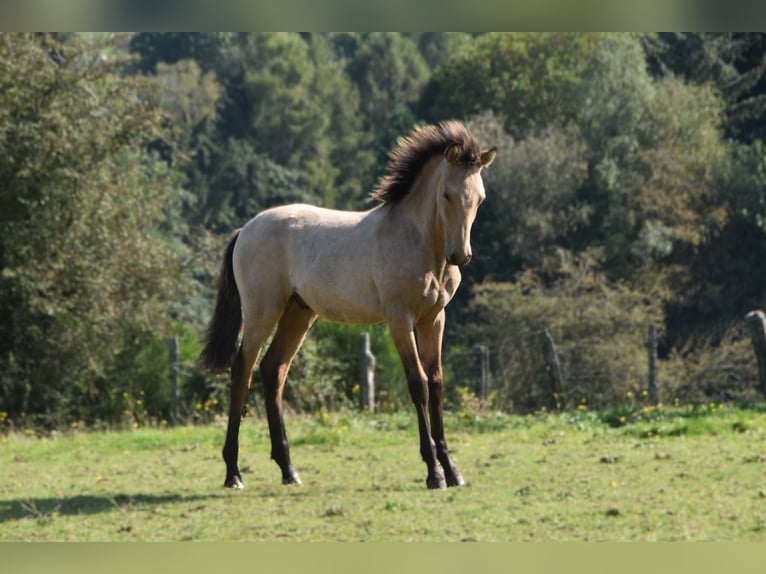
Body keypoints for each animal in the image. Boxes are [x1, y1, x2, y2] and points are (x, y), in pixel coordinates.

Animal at [200, 121, 498, 490]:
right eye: (447, 194)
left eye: (480, 198)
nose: (460, 255)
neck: (416, 240)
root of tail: (245, 230)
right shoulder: (400, 319)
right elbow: (418, 384)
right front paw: (433, 472)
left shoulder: (433, 319)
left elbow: (437, 383)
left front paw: (452, 469)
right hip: (262, 312)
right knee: (243, 370)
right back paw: (233, 472)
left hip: (298, 314)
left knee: (274, 370)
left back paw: (288, 469)